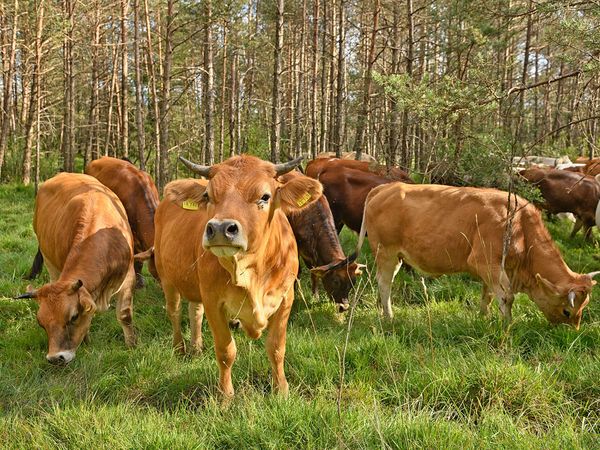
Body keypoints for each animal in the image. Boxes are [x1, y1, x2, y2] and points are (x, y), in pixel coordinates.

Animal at [14, 174, 137, 364]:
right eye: (41, 323)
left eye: (73, 317)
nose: (55, 358)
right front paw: (86, 342)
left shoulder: (128, 276)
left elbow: (125, 315)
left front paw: (131, 345)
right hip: (48, 259)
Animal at [282, 171, 366, 312]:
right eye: (336, 281)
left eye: (352, 282)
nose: (344, 307)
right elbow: (297, 271)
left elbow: (314, 273)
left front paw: (315, 296)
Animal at [356, 182, 596, 326]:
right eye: (567, 312)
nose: (570, 331)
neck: (519, 225)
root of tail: (387, 186)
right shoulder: (485, 263)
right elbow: (507, 297)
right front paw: (507, 325)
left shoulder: (495, 269)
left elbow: (487, 295)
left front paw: (484, 318)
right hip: (386, 254)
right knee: (384, 283)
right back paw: (389, 317)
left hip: (394, 257)